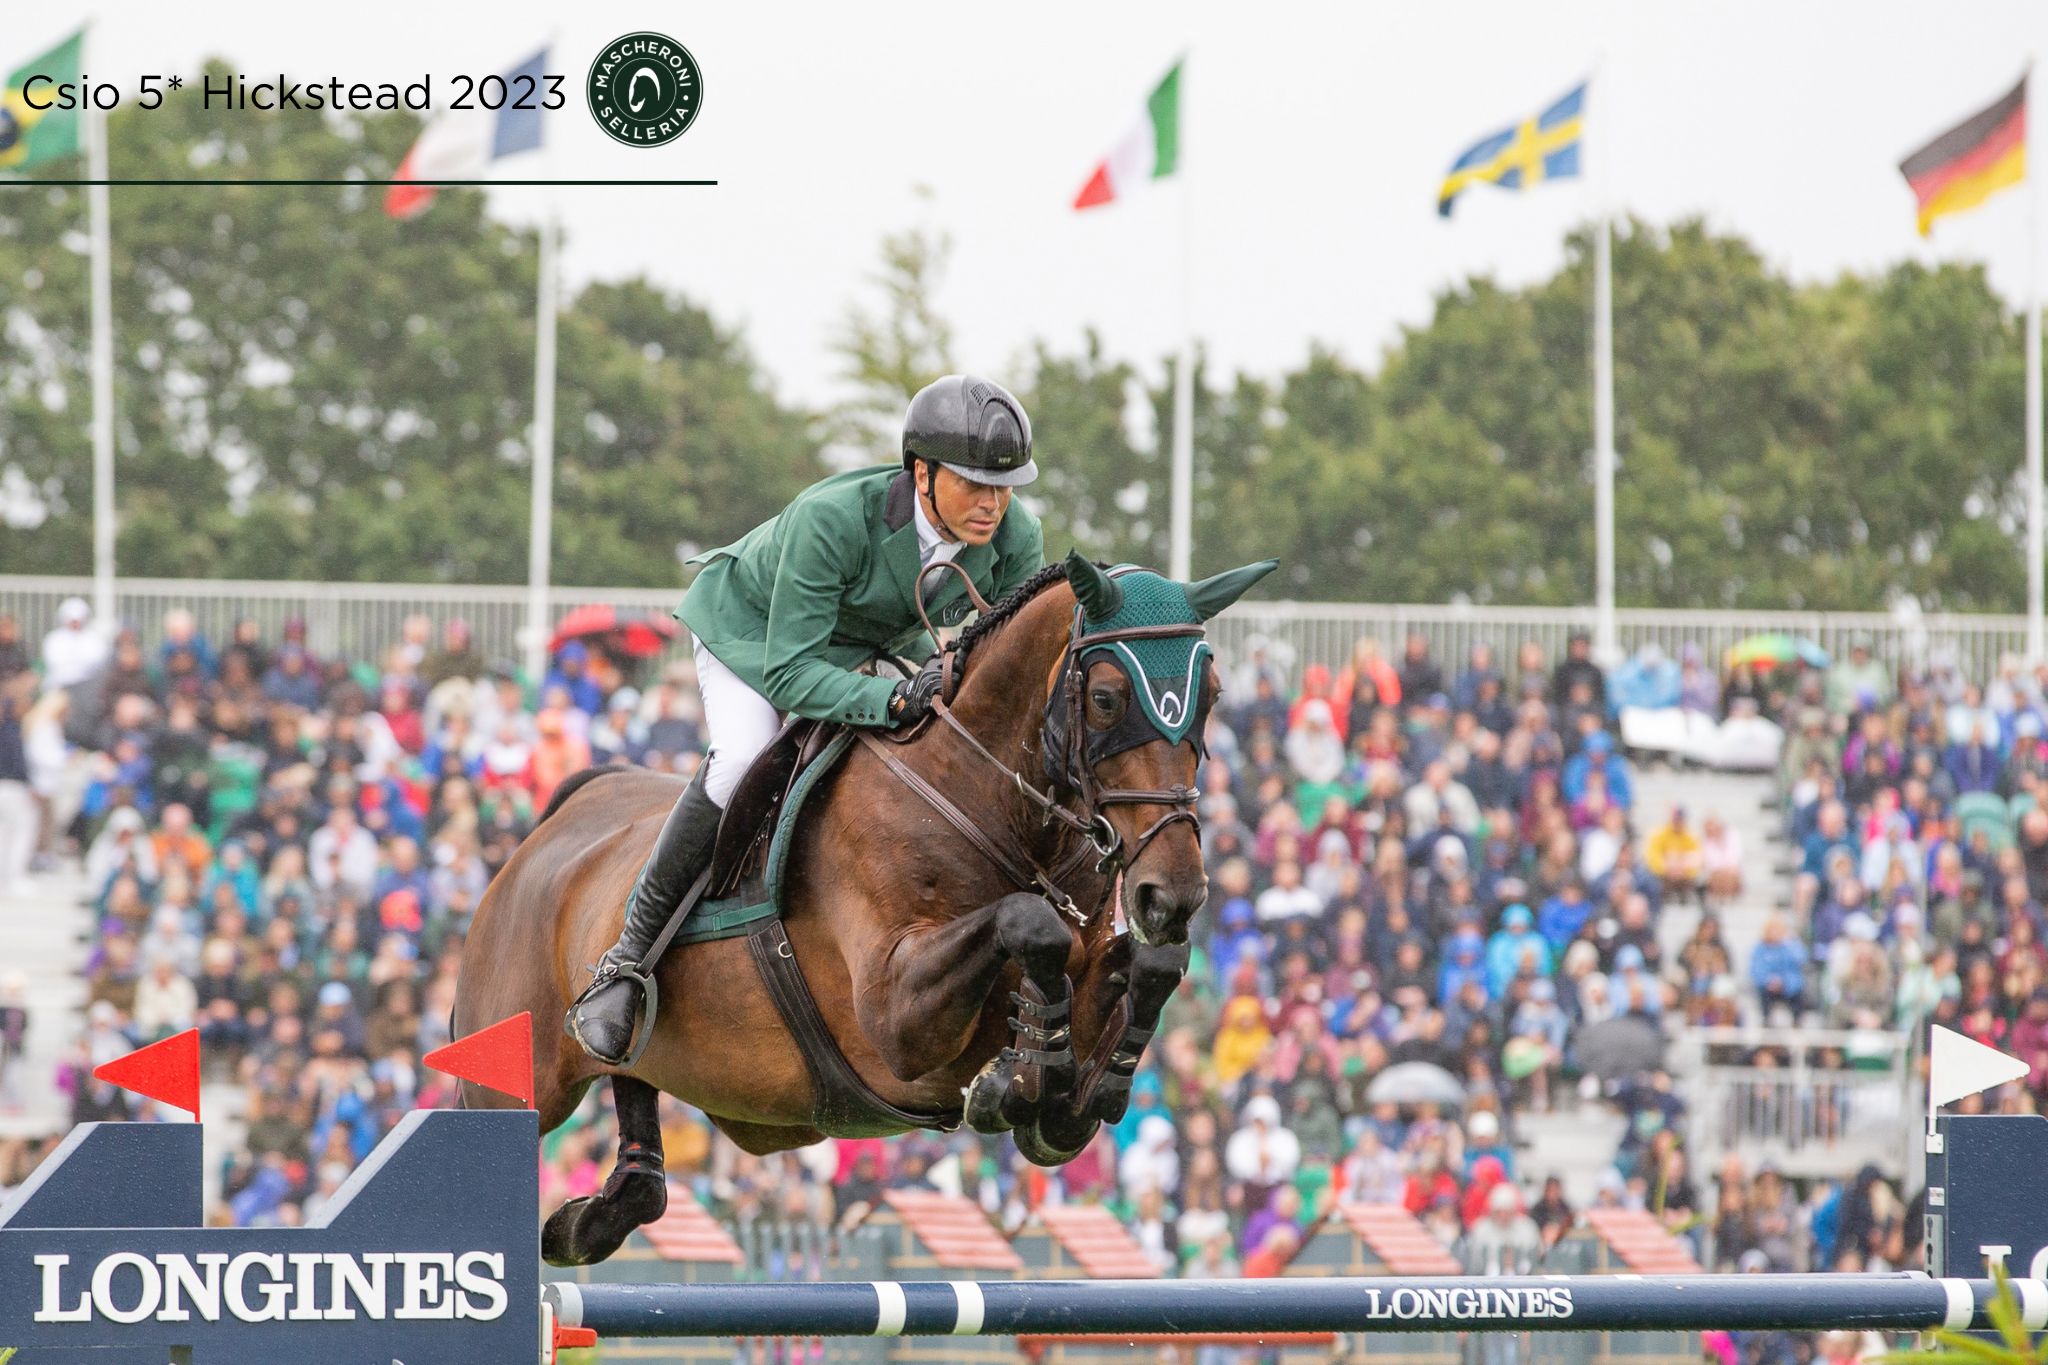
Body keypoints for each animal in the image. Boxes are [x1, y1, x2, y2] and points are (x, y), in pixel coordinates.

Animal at [456, 548, 1269, 1268]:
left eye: (1213, 700)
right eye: (1105, 698)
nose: (1171, 894)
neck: (984, 798)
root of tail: (563, 814)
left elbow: (1151, 968)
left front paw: (1065, 1084)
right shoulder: (893, 1014)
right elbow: (1025, 923)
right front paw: (1015, 1079)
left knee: (636, 1117)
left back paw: (590, 1218)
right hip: (512, 1076)